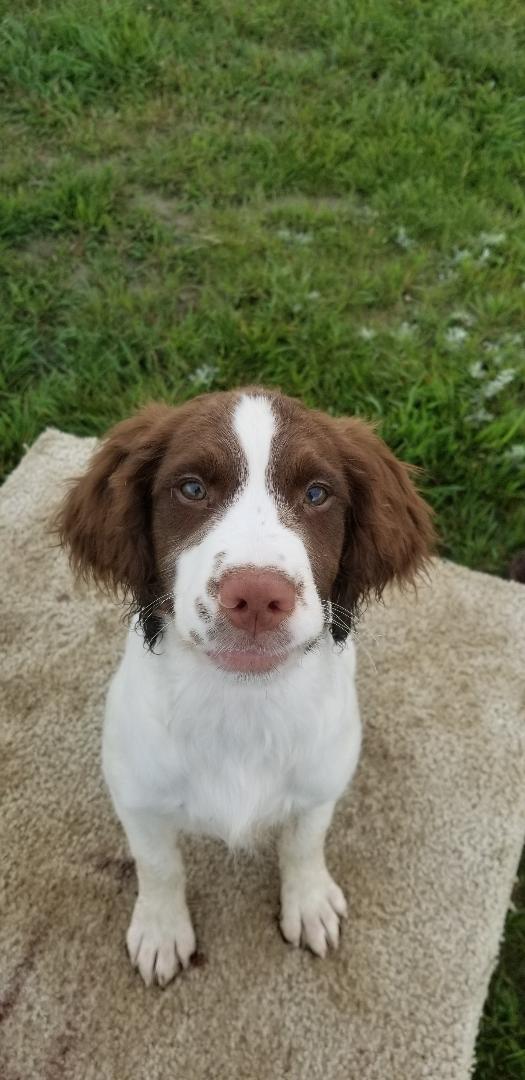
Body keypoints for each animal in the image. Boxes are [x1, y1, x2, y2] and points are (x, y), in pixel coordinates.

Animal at [58, 386, 434, 989]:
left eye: (317, 493)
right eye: (191, 488)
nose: (257, 596)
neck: (241, 701)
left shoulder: (323, 780)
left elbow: (304, 842)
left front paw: (309, 902)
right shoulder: (137, 794)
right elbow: (159, 864)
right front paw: (161, 929)